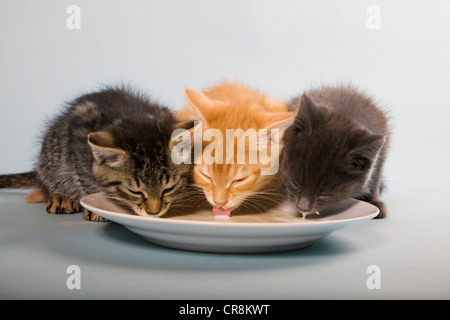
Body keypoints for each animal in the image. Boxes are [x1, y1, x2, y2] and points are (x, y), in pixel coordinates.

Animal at [0, 86, 193, 221]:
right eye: (135, 191)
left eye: (168, 189)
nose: (154, 212)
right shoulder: (77, 142)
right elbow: (85, 180)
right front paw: (97, 208)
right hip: (51, 150)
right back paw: (61, 196)